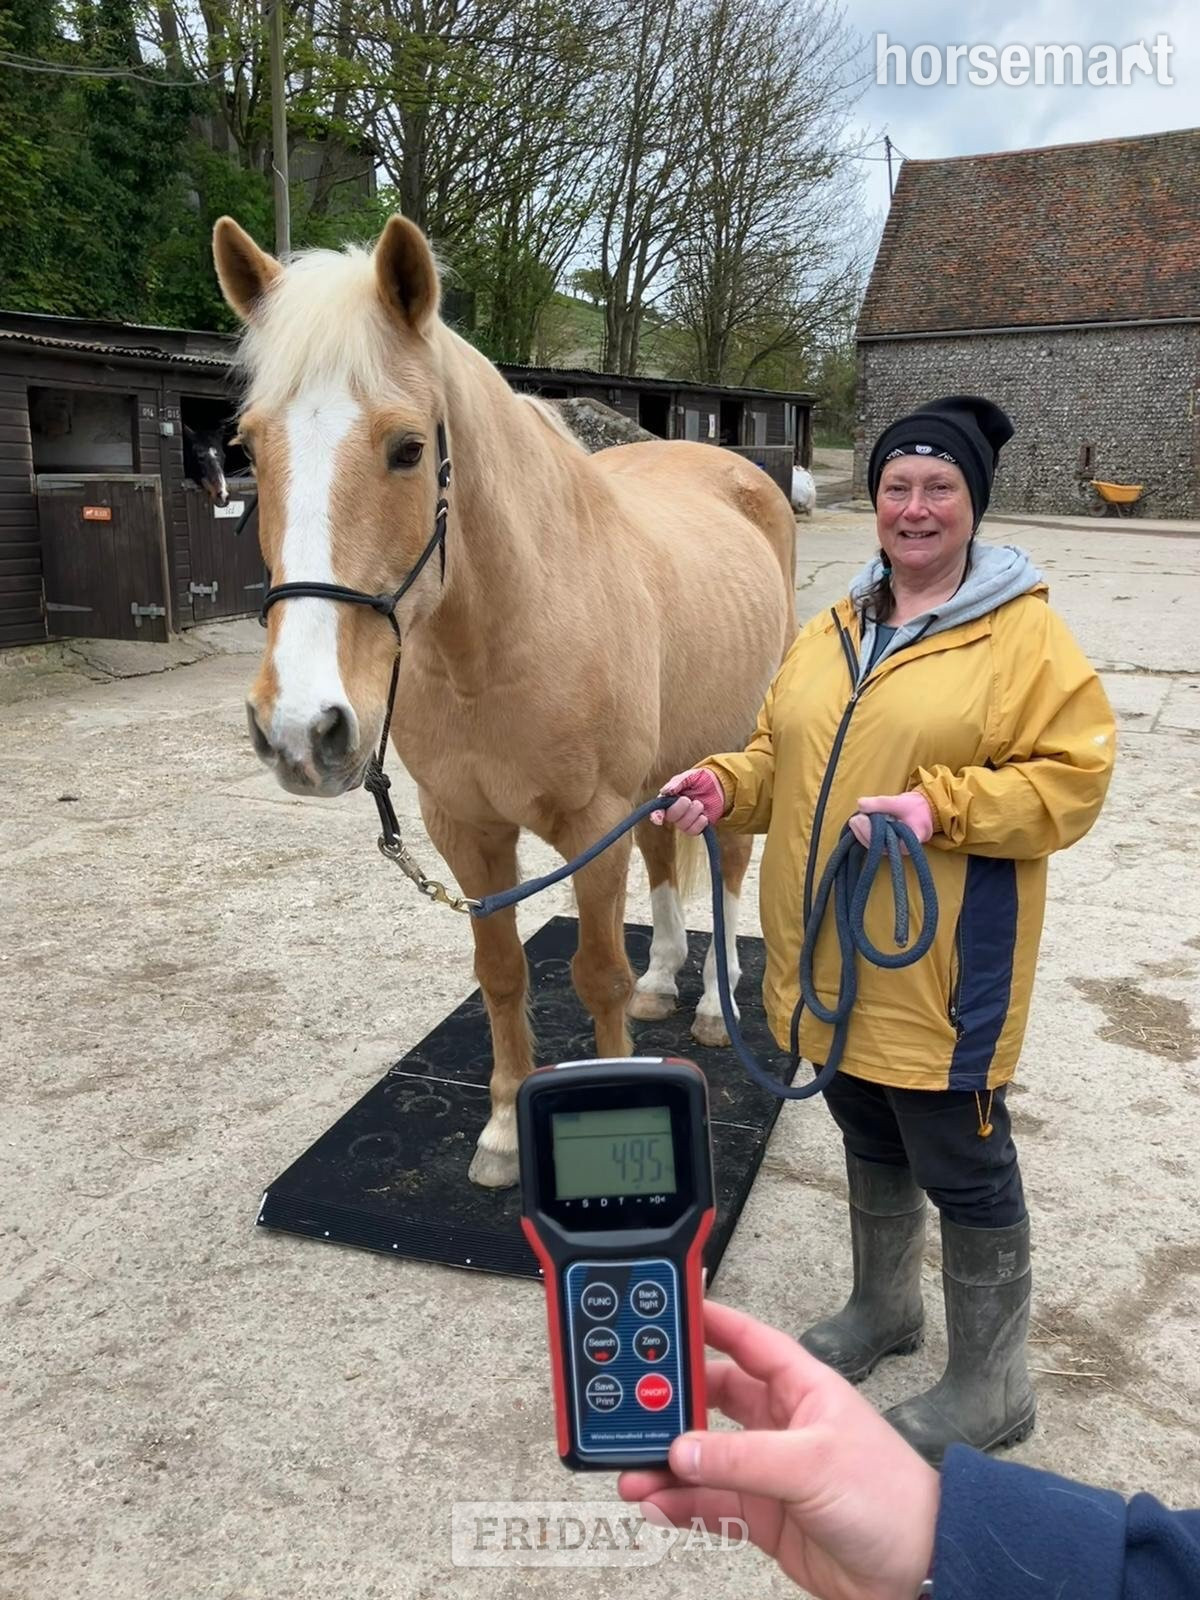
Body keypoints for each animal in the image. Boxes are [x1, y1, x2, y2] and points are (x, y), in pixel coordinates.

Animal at [212, 213, 797, 1189]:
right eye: (248, 449)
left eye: (409, 448)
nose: (302, 728)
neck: (497, 644)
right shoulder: (466, 828)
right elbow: (502, 973)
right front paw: (499, 1132)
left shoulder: (590, 824)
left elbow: (594, 974)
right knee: (665, 854)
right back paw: (665, 979)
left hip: (728, 748)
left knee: (729, 865)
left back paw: (716, 1006)